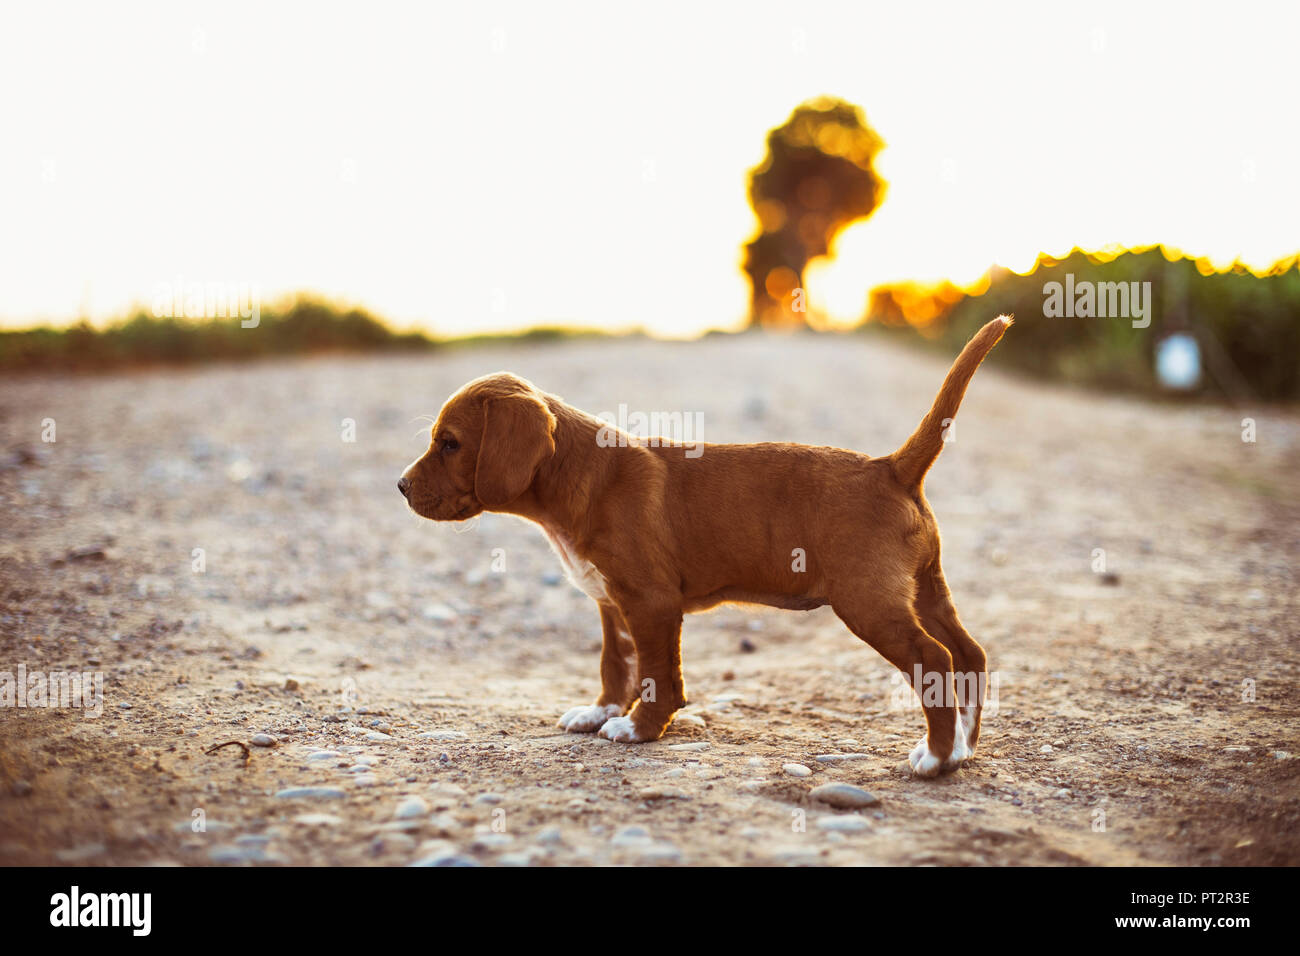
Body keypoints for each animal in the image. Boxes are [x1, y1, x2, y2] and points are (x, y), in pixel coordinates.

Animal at [400, 317, 1008, 780]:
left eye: (449, 443)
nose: (400, 487)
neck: (582, 475)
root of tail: (892, 467)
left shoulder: (651, 603)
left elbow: (658, 676)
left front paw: (639, 728)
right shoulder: (613, 606)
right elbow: (616, 665)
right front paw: (601, 712)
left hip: (869, 602)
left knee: (935, 658)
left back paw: (936, 758)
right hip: (926, 588)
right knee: (970, 654)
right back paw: (962, 746)